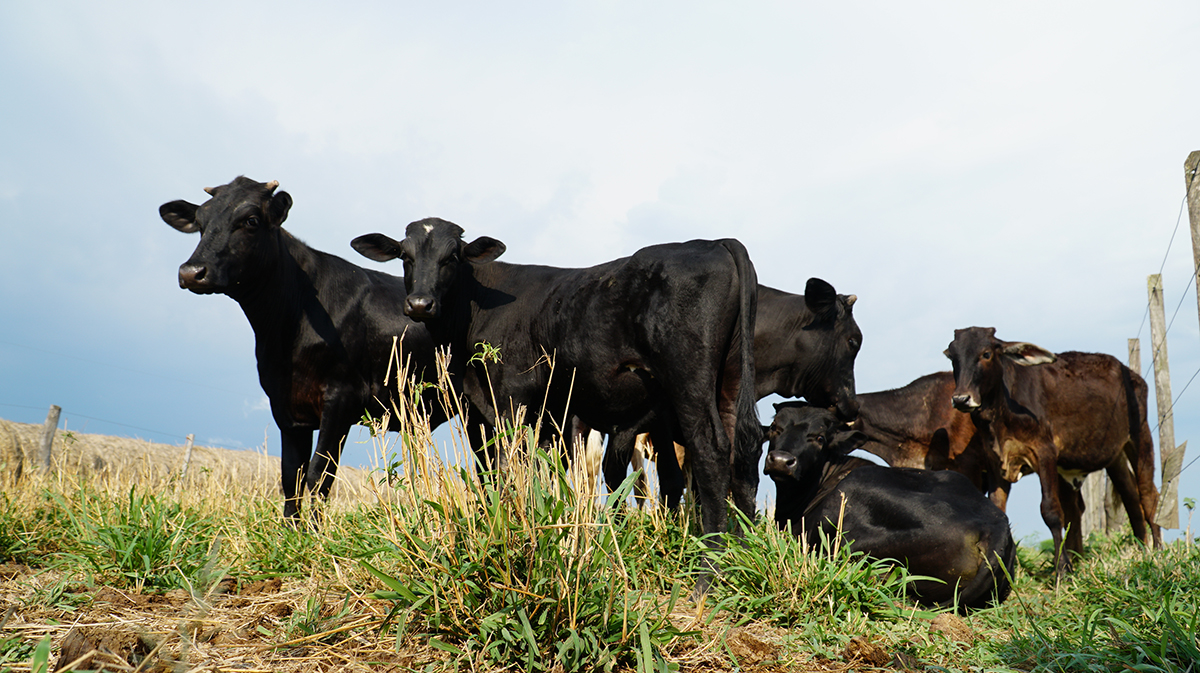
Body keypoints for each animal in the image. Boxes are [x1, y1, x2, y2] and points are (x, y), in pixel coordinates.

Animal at [159, 177, 459, 523]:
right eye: (200, 222)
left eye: (251, 221)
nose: (191, 272)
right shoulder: (285, 404)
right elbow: (292, 475)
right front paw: (290, 529)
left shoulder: (342, 397)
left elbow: (320, 474)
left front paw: (314, 531)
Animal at [350, 219, 761, 540]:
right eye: (405, 256)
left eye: (451, 257)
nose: (420, 304)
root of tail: (714, 242)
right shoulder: (490, 412)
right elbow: (502, 471)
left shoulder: (510, 399)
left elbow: (509, 467)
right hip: (729, 380)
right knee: (740, 451)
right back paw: (742, 550)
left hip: (688, 380)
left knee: (710, 449)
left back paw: (709, 568)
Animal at [944, 326, 1161, 575]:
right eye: (951, 356)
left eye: (986, 354)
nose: (961, 398)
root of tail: (1132, 374)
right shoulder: (995, 463)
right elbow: (997, 510)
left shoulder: (1044, 453)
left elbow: (1051, 511)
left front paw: (1062, 570)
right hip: (1114, 457)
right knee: (1131, 498)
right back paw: (1141, 549)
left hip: (1140, 436)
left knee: (1148, 495)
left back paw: (1157, 552)